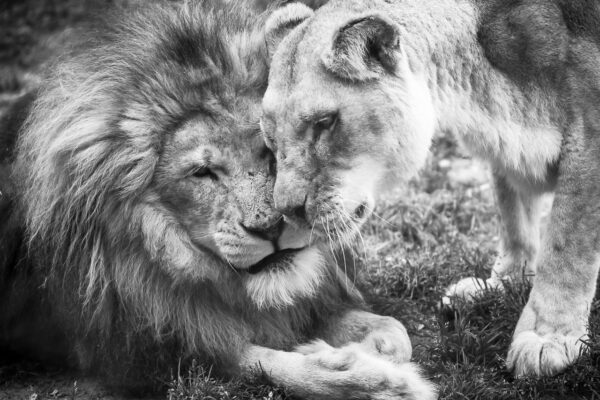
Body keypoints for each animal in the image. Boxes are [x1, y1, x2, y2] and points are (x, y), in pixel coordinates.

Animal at [0, 1, 436, 398]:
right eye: (202, 173)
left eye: (268, 150)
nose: (270, 228)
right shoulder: (150, 351)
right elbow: (260, 363)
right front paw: (373, 382)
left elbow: (392, 329)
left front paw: (374, 347)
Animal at [264, 0, 600, 378]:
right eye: (271, 137)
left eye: (324, 123)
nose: (287, 210)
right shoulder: (506, 143)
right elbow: (514, 218)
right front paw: (504, 283)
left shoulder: (589, 133)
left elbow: (567, 246)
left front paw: (548, 337)